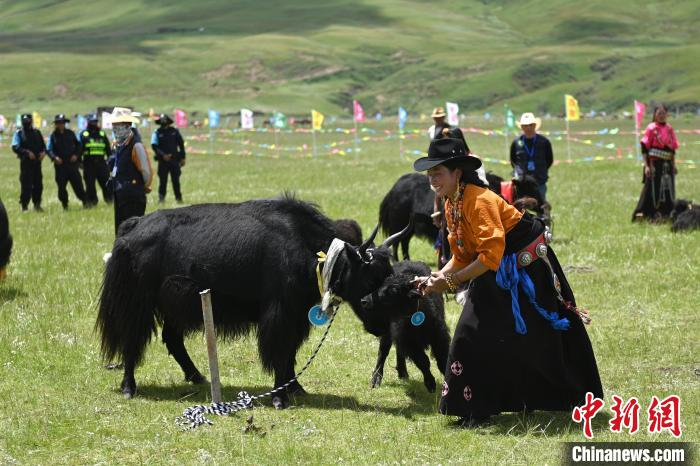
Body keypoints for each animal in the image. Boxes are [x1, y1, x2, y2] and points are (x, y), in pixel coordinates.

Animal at [100, 194, 416, 408]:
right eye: (370, 277)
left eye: (389, 274)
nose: (384, 329)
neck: (313, 253)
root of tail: (133, 226)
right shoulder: (279, 315)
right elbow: (279, 352)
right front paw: (280, 398)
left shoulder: (296, 317)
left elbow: (290, 354)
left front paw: (296, 388)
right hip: (137, 304)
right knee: (132, 340)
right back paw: (129, 387)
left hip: (175, 307)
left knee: (172, 339)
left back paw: (198, 376)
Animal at [358, 260, 452, 392]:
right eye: (381, 285)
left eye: (393, 291)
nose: (364, 300)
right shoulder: (409, 343)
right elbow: (423, 361)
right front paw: (430, 383)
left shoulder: (439, 338)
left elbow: (443, 361)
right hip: (389, 332)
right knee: (383, 352)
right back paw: (376, 378)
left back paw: (402, 372)